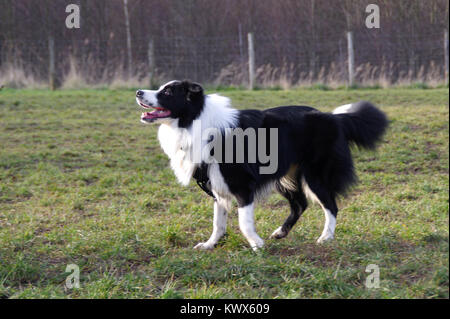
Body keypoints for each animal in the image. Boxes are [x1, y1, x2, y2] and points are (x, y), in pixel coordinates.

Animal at [136, 81, 386, 251]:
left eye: (168, 92)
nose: (138, 92)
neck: (195, 121)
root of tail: (334, 118)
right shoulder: (216, 186)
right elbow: (218, 222)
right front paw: (210, 244)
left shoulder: (242, 186)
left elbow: (244, 221)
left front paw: (256, 245)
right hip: (286, 176)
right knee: (300, 204)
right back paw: (281, 233)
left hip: (315, 175)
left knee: (330, 206)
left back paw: (325, 238)